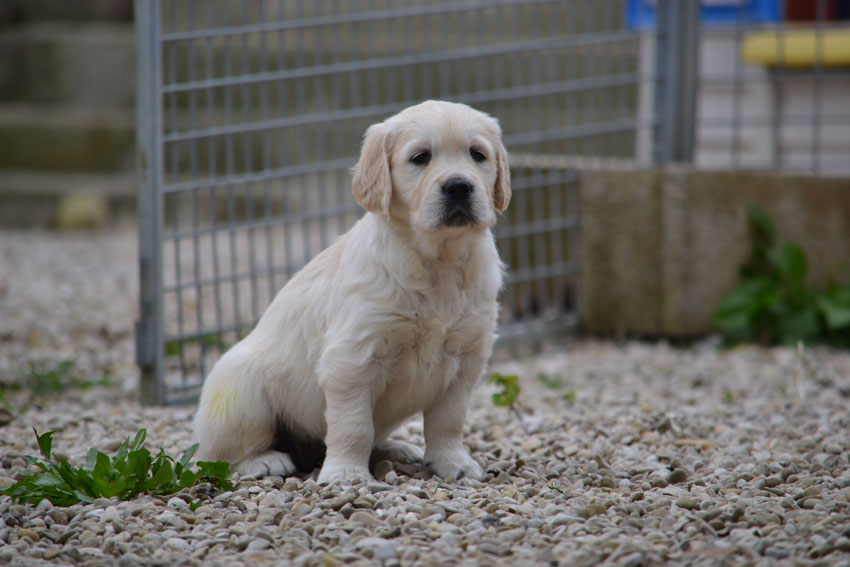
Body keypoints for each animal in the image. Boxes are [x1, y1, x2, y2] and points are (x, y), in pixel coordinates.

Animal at [192, 101, 510, 484]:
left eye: (478, 154)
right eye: (420, 157)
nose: (459, 186)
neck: (439, 262)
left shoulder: (467, 358)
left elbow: (448, 421)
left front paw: (453, 462)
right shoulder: (352, 359)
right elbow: (353, 425)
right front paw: (346, 474)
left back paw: (396, 449)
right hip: (242, 389)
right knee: (221, 456)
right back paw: (264, 461)